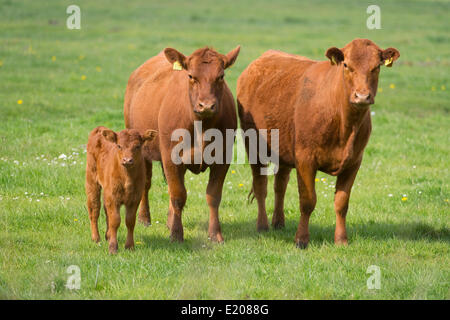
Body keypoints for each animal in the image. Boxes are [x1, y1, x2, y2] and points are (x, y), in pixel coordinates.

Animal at [85, 126, 156, 254]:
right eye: (119, 146)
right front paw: (113, 247)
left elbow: (130, 221)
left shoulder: (135, 199)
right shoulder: (113, 198)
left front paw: (130, 246)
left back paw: (107, 235)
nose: (127, 160)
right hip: (91, 181)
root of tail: (99, 128)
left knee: (105, 210)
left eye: (138, 146)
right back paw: (96, 238)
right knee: (94, 208)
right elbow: (115, 220)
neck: (127, 178)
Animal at [125, 45, 241, 242]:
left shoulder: (223, 158)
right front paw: (176, 234)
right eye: (191, 76)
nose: (206, 105)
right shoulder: (171, 157)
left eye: (221, 76)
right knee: (146, 184)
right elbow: (178, 195)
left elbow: (213, 195)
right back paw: (144, 218)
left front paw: (215, 234)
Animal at [237, 37, 400, 248]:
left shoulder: (354, 162)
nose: (362, 96)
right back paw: (263, 225)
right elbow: (307, 201)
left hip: (283, 149)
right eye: (346, 65)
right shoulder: (305, 160)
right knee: (260, 186)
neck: (345, 124)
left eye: (376, 67)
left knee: (280, 186)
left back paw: (278, 222)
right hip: (254, 146)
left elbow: (341, 203)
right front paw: (301, 239)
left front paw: (341, 239)